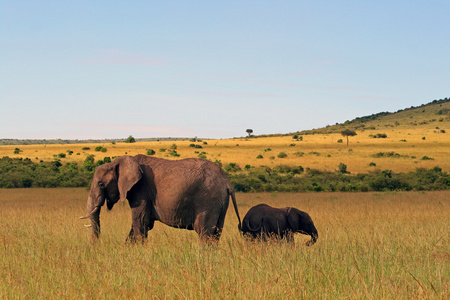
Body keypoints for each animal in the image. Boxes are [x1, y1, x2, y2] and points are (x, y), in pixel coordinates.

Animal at [81, 156, 243, 243]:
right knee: (216, 234)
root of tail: (227, 181)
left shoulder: (141, 191)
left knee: (204, 233)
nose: (94, 246)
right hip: (221, 202)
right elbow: (141, 225)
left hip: (208, 201)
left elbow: (140, 222)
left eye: (101, 184)